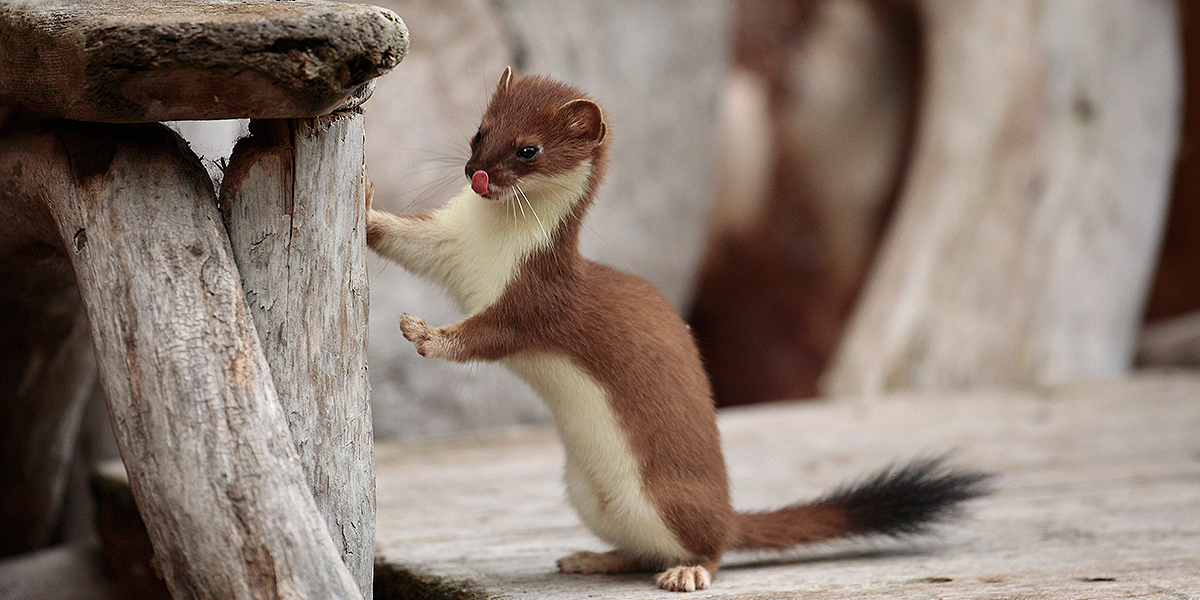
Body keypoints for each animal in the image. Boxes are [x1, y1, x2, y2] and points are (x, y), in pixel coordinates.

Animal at [367, 68, 993, 592]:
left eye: (528, 149)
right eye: (479, 132)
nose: (477, 175)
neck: (490, 249)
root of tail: (725, 509)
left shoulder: (534, 302)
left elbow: (483, 337)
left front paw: (423, 332)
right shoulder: (449, 246)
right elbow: (406, 240)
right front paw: (369, 209)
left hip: (670, 497)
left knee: (713, 545)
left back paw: (687, 571)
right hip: (588, 493)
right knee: (639, 548)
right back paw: (593, 558)